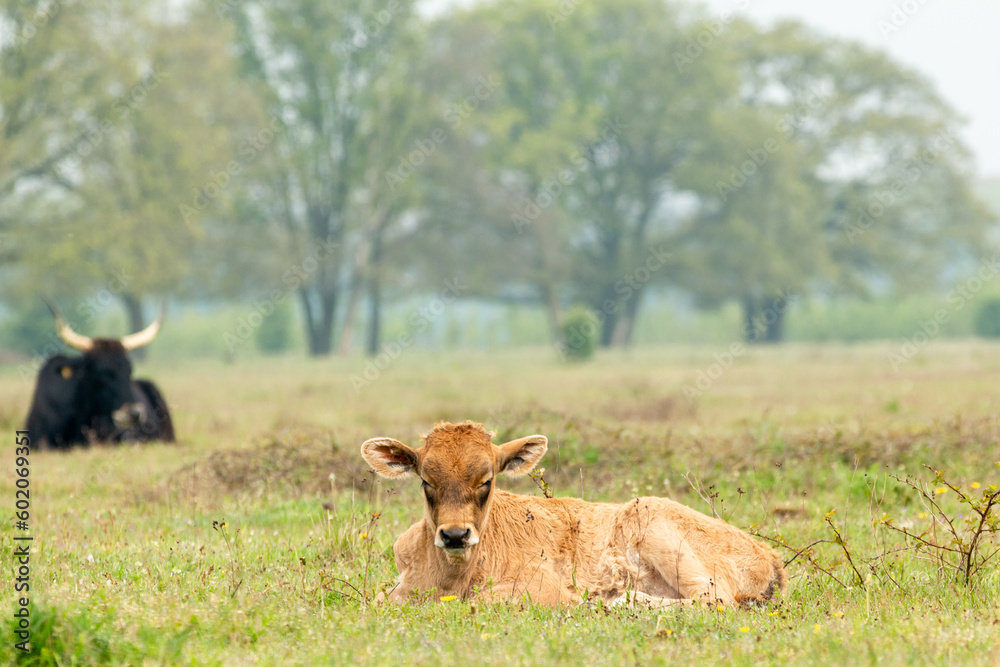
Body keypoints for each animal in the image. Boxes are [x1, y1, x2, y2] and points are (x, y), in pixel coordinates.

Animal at [362, 421, 786, 608]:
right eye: (426, 481)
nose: (454, 535)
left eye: (487, 480)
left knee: (714, 600)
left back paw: (617, 601)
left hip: (651, 519)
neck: (449, 580)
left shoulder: (543, 589)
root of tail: (770, 556)